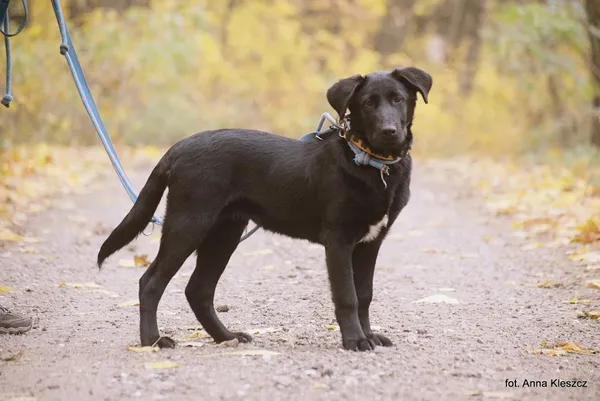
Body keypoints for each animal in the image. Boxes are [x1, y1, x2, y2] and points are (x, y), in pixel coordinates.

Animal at [101, 68, 434, 350]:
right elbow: (347, 296)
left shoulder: (371, 242)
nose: (390, 131)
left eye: (398, 99)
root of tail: (178, 147)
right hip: (188, 224)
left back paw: (226, 337)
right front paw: (355, 340)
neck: (370, 162)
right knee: (150, 283)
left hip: (225, 233)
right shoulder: (338, 240)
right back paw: (153, 341)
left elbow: (364, 294)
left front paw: (370, 335)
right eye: (367, 103)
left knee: (198, 290)